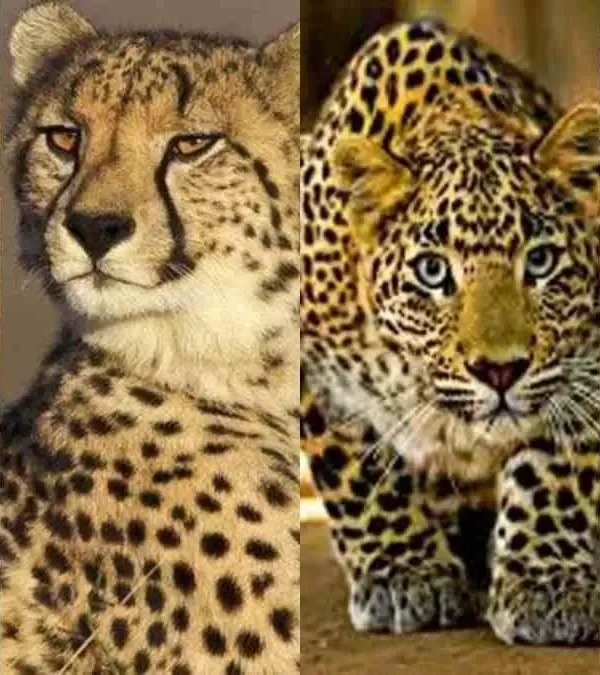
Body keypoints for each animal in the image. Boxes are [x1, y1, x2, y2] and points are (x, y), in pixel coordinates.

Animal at [300, 17, 600, 645]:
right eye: (433, 272)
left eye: (540, 262)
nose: (500, 371)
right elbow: (355, 468)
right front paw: (403, 575)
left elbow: (555, 467)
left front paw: (547, 583)